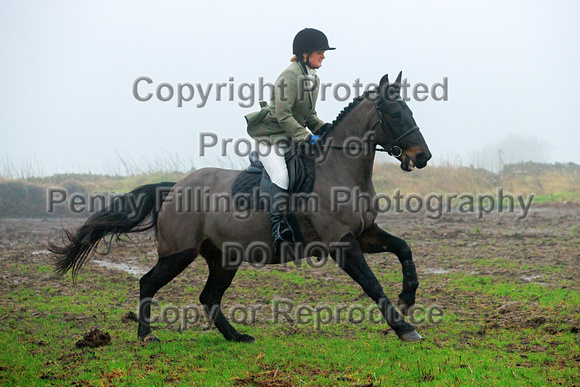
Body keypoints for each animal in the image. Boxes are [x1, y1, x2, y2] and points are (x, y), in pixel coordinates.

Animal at [48, 71, 430, 344]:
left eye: (411, 110)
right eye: (394, 113)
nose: (422, 157)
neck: (340, 169)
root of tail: (174, 189)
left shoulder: (364, 234)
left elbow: (404, 248)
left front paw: (409, 295)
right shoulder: (341, 243)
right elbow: (372, 284)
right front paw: (404, 328)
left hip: (223, 258)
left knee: (208, 297)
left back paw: (236, 336)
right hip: (179, 253)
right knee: (148, 283)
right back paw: (146, 335)